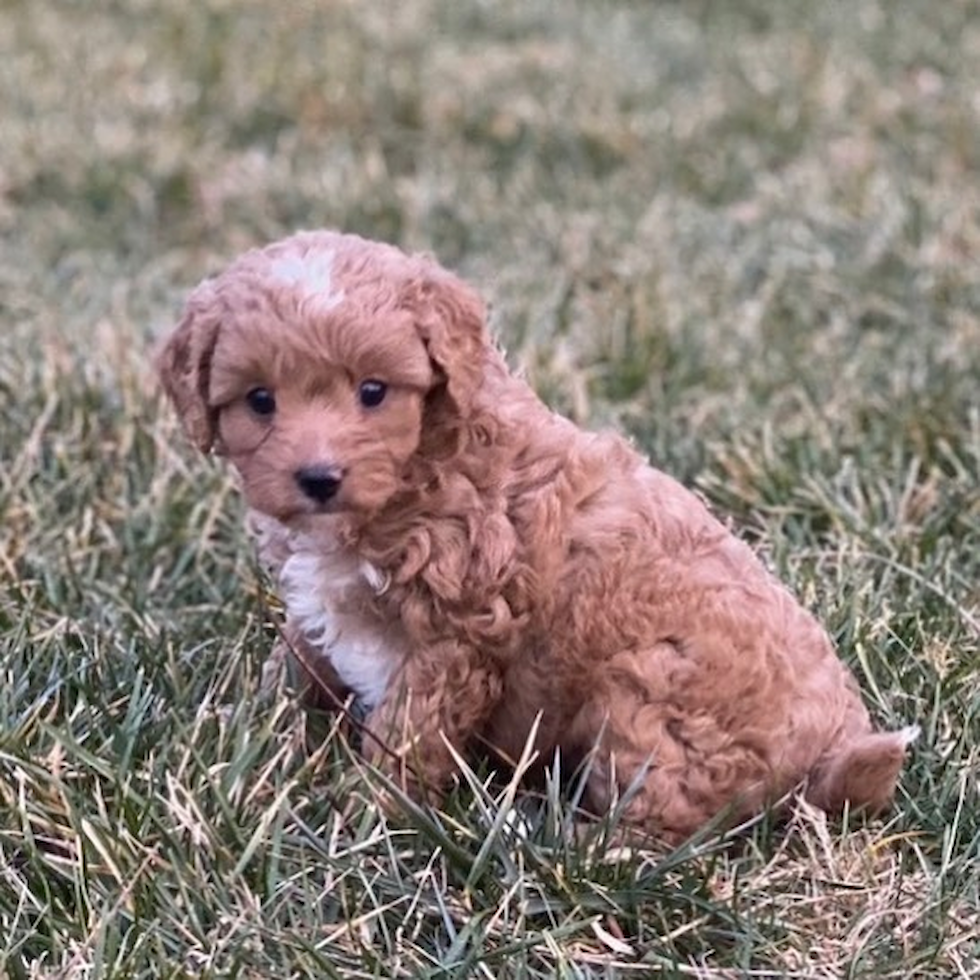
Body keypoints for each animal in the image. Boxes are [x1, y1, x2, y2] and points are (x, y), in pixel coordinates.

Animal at [157, 232, 916, 844]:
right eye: (260, 400)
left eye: (373, 391)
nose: (318, 478)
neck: (423, 466)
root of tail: (833, 755)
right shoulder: (330, 603)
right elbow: (298, 657)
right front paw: (236, 724)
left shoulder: (457, 635)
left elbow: (408, 733)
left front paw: (364, 814)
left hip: (650, 696)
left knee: (661, 827)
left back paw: (552, 838)